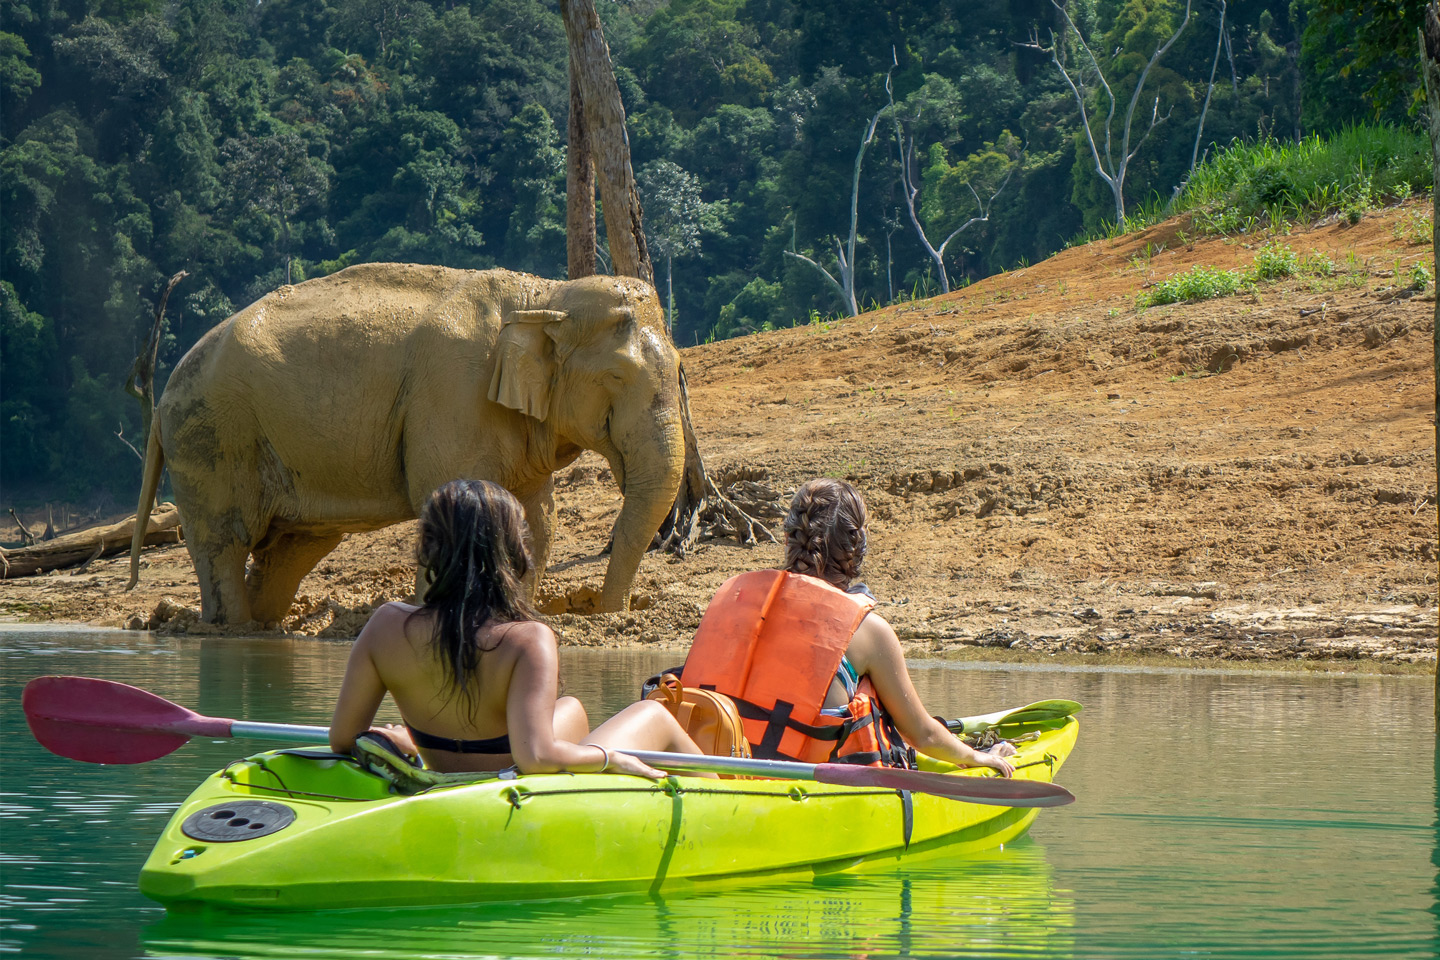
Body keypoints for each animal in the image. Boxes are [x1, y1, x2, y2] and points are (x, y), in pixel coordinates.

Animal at [126, 264, 682, 624]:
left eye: (679, 366)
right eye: (616, 376)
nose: (611, 615)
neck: (546, 296)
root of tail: (162, 397)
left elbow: (535, 520)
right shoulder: (453, 395)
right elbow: (449, 503)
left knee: (290, 551)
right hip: (212, 437)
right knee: (224, 542)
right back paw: (230, 630)